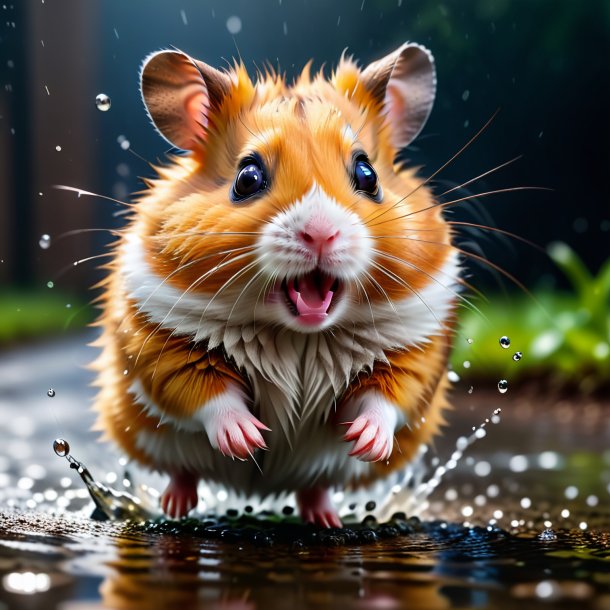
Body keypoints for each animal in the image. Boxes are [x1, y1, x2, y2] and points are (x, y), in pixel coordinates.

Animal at [92, 41, 456, 528]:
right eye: (247, 178)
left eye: (368, 176)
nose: (321, 233)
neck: (297, 334)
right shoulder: (160, 342)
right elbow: (207, 392)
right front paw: (250, 440)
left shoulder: (413, 347)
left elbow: (386, 396)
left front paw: (365, 442)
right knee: (182, 470)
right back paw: (176, 507)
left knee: (313, 486)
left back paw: (326, 519)